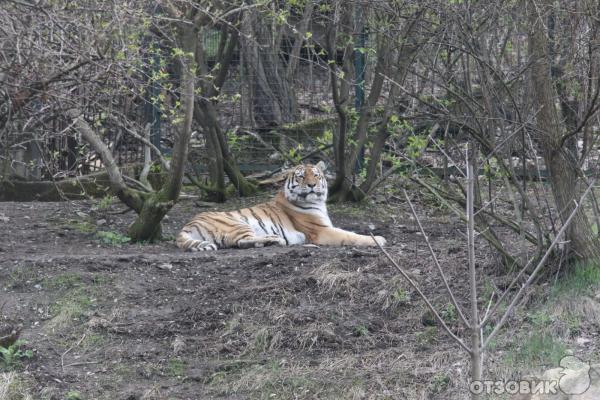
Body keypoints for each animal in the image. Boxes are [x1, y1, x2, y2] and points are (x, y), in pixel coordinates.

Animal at [176, 162, 386, 250]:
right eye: (301, 176)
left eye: (315, 175)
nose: (312, 185)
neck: (317, 202)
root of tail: (187, 224)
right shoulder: (320, 230)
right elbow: (349, 235)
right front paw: (379, 239)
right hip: (236, 223)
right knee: (241, 241)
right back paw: (275, 239)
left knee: (242, 242)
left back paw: (272, 240)